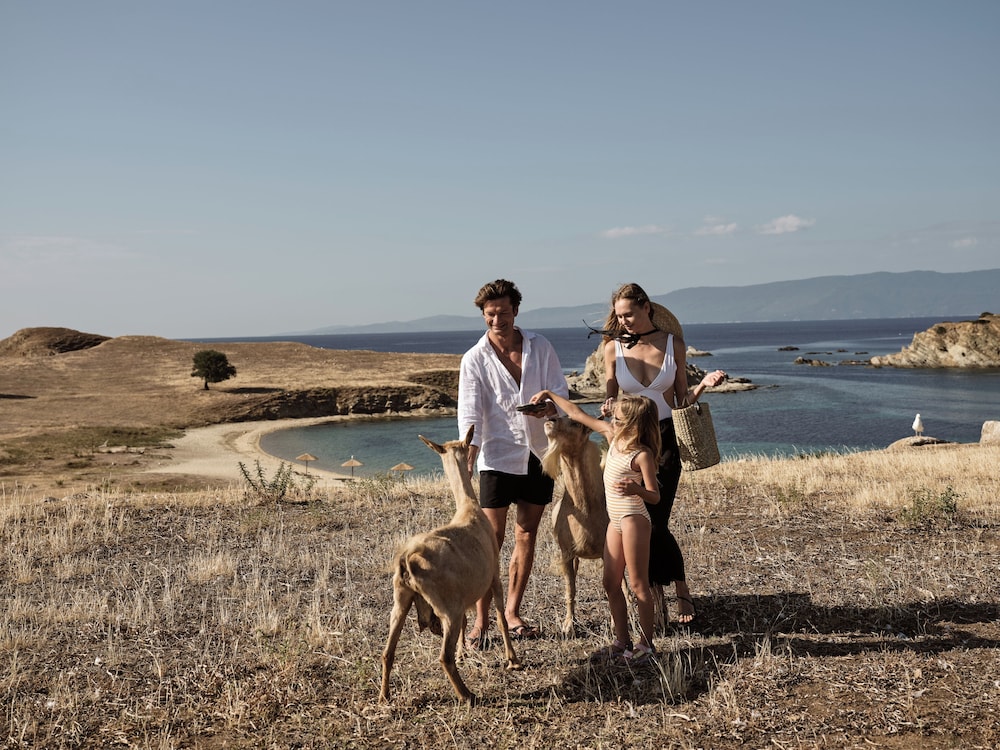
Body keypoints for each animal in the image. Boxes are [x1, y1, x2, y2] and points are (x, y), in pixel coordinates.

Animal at [379, 425, 522, 704]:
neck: (469, 509)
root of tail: (407, 560)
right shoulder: (493, 575)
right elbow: (500, 616)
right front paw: (513, 660)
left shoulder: (464, 592)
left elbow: (468, 621)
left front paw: (463, 653)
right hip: (447, 608)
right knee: (442, 657)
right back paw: (468, 695)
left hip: (401, 600)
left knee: (387, 651)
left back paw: (384, 696)